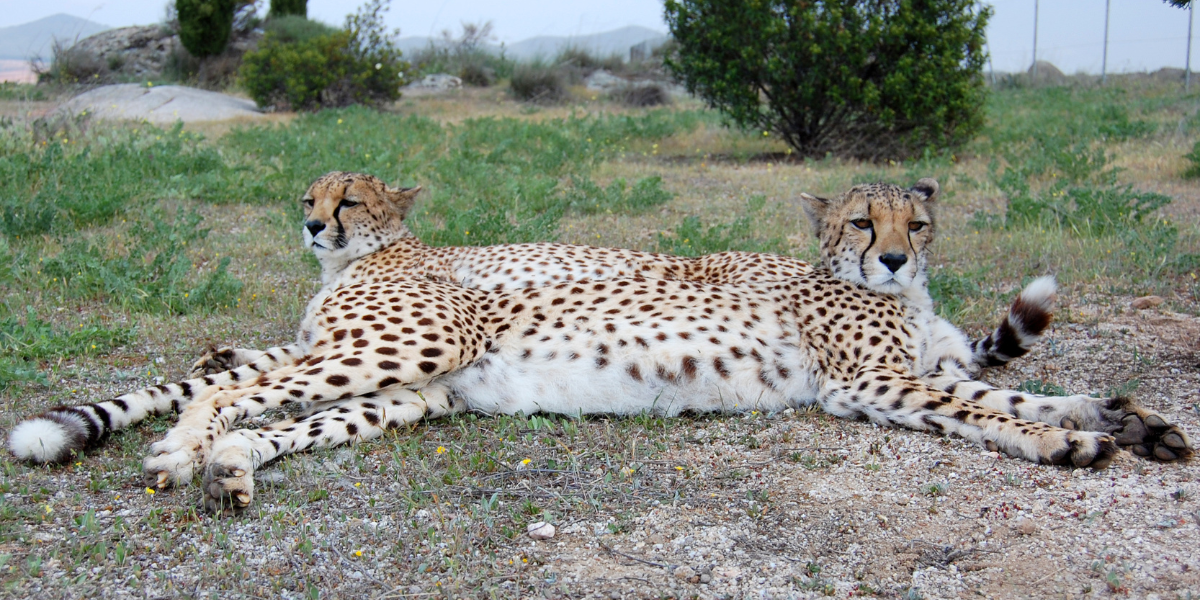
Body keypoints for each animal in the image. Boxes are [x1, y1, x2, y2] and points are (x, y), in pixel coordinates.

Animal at [9, 175, 1190, 513]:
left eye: (917, 223)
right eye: (864, 224)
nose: (895, 261)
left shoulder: (927, 367)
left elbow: (1024, 392)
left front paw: (1125, 419)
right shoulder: (877, 390)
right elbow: (989, 412)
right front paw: (1076, 443)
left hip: (405, 395)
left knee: (269, 416)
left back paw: (229, 468)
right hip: (398, 353)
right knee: (230, 390)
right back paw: (181, 456)